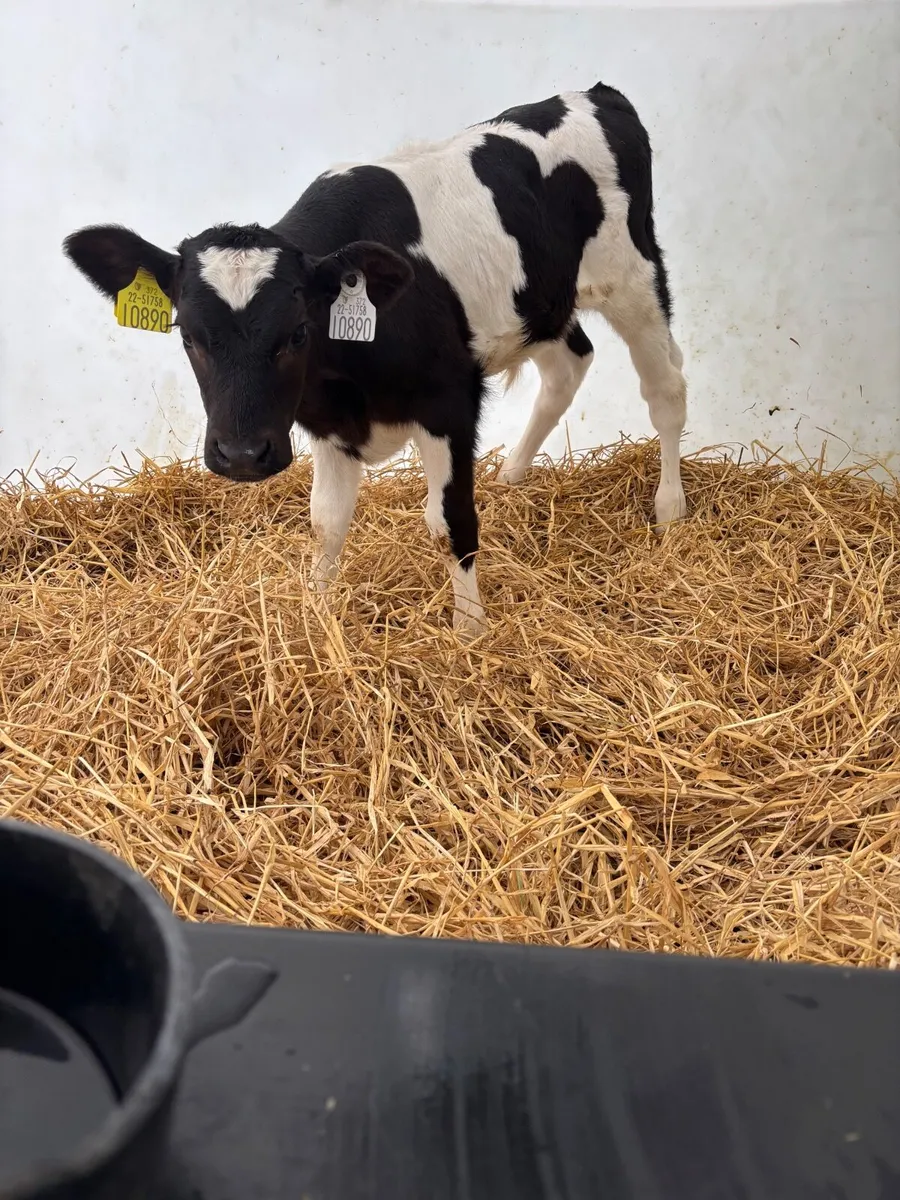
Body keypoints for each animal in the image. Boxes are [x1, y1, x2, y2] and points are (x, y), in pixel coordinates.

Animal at [64, 81, 687, 639]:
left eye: (298, 332)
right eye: (187, 336)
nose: (241, 455)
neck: (347, 378)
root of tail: (595, 93)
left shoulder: (450, 400)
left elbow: (449, 520)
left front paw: (470, 632)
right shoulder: (329, 423)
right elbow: (327, 520)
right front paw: (317, 615)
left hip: (636, 277)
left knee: (667, 391)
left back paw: (670, 508)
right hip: (542, 303)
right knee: (568, 366)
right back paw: (512, 476)